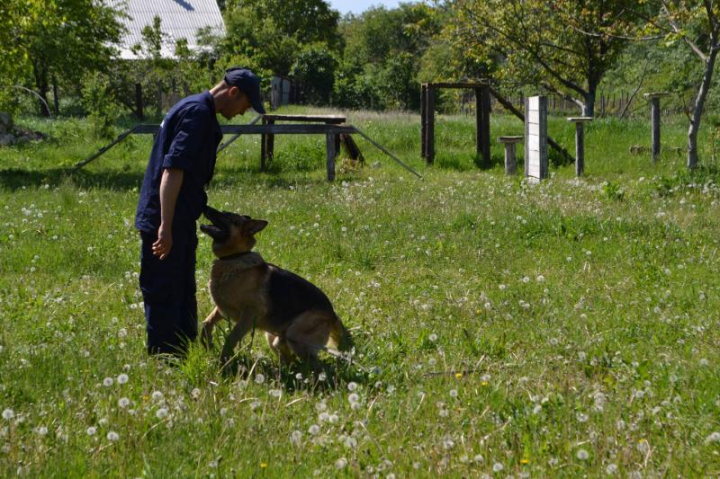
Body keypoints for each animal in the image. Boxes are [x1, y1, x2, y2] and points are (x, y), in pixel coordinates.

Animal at [198, 207, 352, 372]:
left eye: (227, 216)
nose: (205, 207)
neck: (234, 258)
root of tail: (332, 314)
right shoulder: (223, 309)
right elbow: (206, 323)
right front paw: (208, 343)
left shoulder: (249, 314)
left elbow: (230, 339)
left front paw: (222, 363)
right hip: (274, 338)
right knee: (289, 358)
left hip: (295, 336)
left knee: (317, 366)